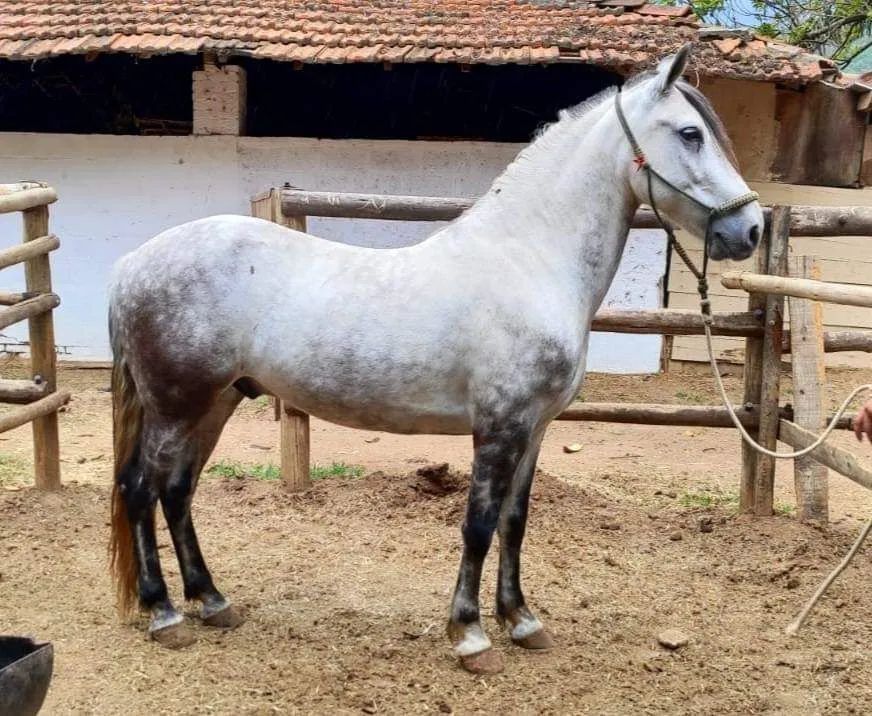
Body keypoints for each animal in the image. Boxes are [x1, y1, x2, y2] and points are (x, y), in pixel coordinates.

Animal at [108, 45, 762, 673]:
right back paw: (165, 614)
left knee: (178, 492)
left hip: (215, 403)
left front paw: (522, 621)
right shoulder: (498, 428)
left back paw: (212, 602)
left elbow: (514, 522)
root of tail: (134, 262)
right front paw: (470, 637)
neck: (528, 261)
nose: (751, 228)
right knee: (141, 490)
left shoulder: (535, 428)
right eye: (690, 134)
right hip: (176, 407)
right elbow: (478, 524)